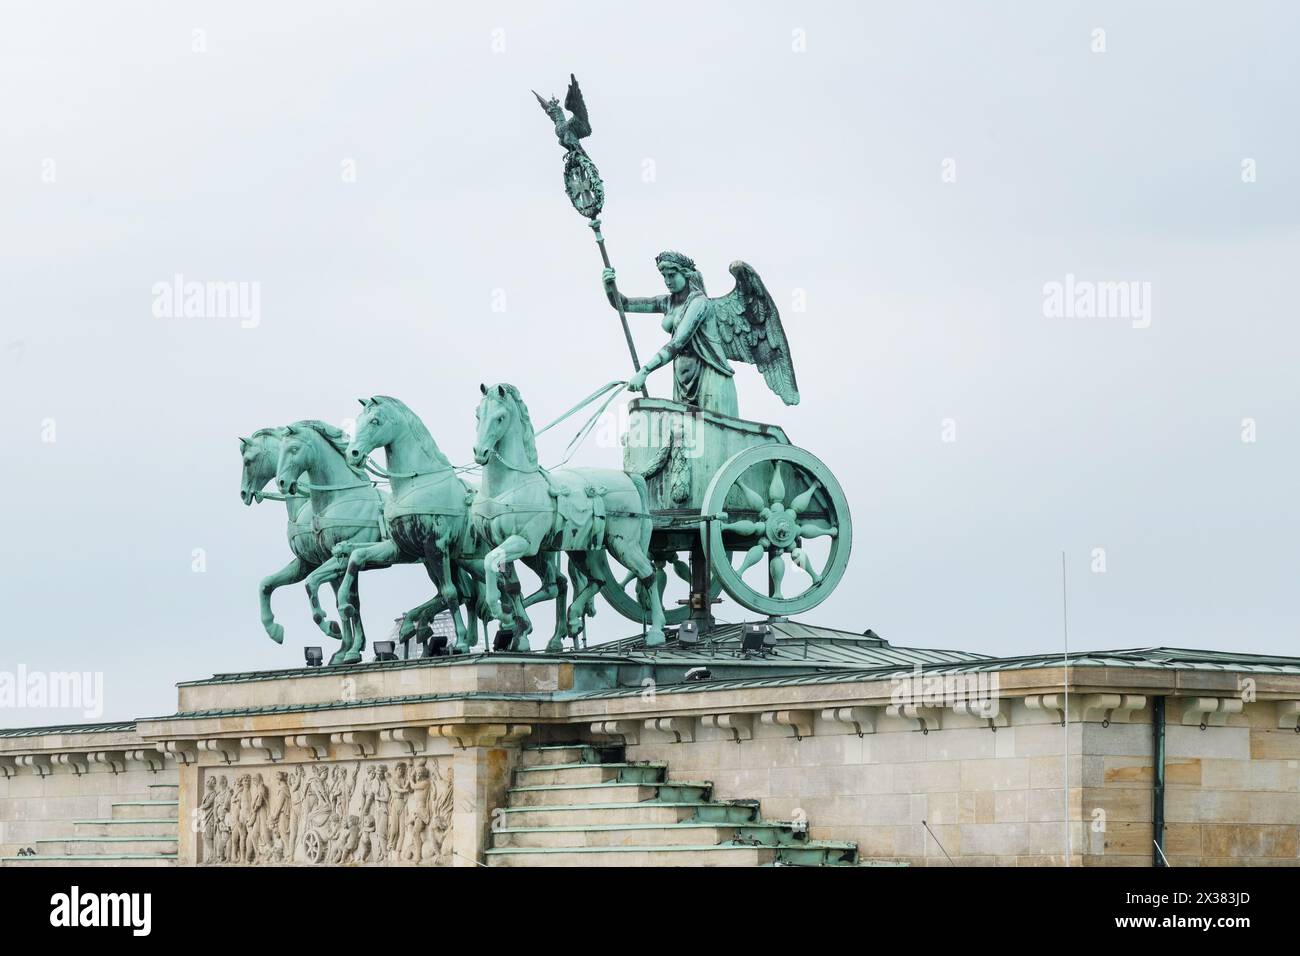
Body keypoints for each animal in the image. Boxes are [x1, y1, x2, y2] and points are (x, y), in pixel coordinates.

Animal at [236, 429, 343, 647]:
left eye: (248, 461)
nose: (243, 493)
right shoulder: (306, 563)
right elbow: (266, 584)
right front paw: (274, 629)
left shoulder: (328, 559)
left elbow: (338, 600)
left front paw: (339, 637)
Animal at [274, 421, 384, 660]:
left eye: (294, 449)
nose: (282, 482)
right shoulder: (329, 560)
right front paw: (347, 646)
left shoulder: (342, 558)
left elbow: (313, 584)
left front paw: (337, 634)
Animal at [473, 385, 665, 647]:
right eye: (477, 414)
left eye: (500, 417)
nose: (479, 452)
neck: (507, 485)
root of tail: (628, 476)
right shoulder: (500, 543)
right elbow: (511, 586)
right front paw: (520, 634)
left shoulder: (524, 543)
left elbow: (489, 562)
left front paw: (500, 613)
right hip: (582, 549)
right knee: (598, 580)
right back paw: (573, 618)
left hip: (623, 545)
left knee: (648, 574)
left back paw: (656, 631)